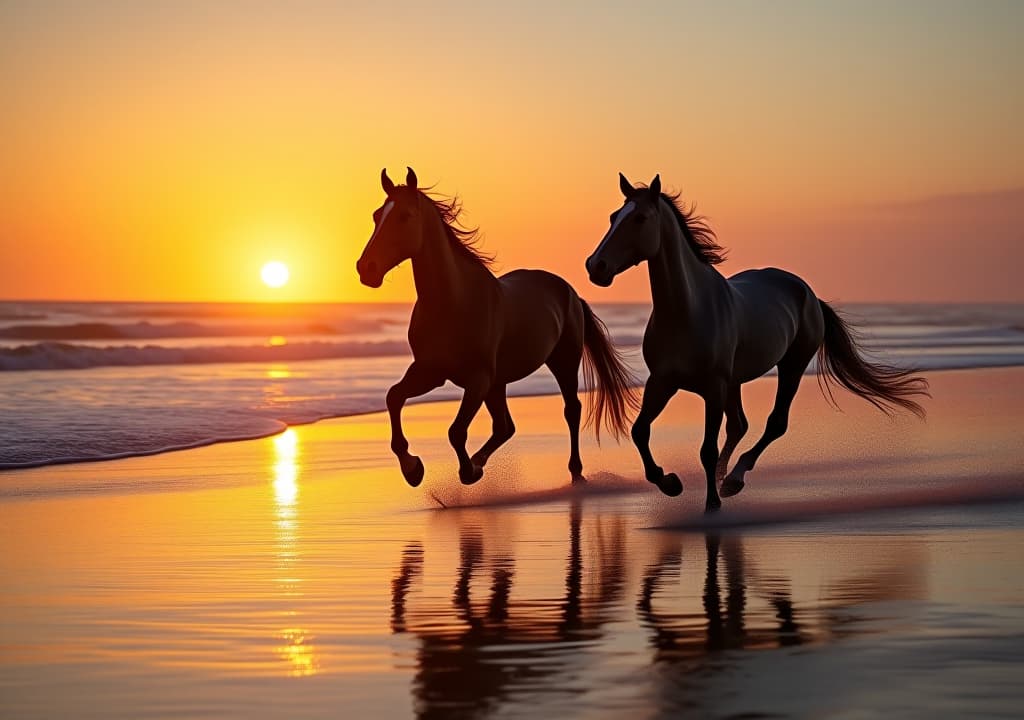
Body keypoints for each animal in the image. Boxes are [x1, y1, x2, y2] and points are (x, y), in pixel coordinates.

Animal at [356, 165, 634, 487]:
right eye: (377, 215)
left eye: (404, 216)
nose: (366, 268)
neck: (453, 302)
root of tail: (570, 291)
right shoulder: (430, 372)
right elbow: (394, 397)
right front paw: (413, 469)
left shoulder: (478, 379)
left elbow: (455, 431)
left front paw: (466, 473)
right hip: (499, 383)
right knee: (505, 427)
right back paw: (479, 462)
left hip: (562, 362)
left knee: (571, 410)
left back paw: (574, 469)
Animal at [585, 174, 929, 512]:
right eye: (614, 217)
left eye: (640, 218)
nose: (595, 266)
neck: (689, 310)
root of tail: (807, 292)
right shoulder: (662, 382)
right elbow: (640, 431)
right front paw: (670, 483)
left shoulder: (713, 387)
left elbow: (707, 449)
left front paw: (711, 504)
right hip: (734, 382)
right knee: (739, 425)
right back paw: (724, 477)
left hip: (790, 366)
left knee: (775, 423)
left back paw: (734, 479)